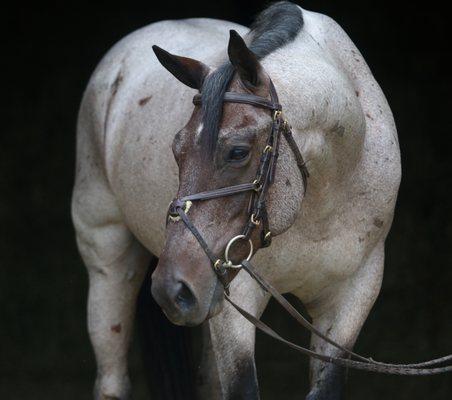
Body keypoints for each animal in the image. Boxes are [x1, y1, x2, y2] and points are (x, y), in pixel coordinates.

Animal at [71, 1, 448, 398]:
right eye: (177, 148)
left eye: (237, 152)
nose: (172, 290)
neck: (321, 200)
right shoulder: (236, 296)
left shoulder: (350, 298)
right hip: (111, 262)